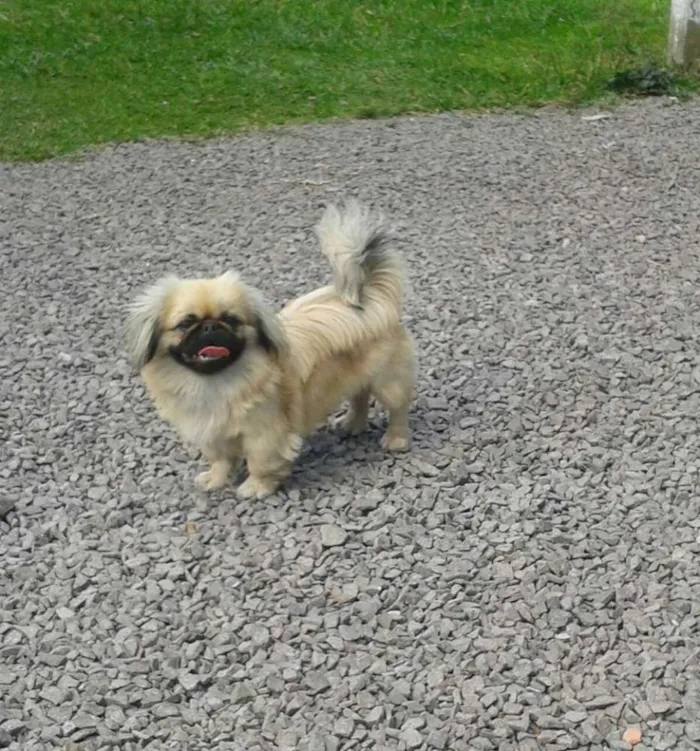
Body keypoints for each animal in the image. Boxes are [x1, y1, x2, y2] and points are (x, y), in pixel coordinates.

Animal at [126, 203, 416, 502]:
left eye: (230, 320)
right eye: (185, 324)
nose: (209, 327)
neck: (215, 383)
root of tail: (370, 297)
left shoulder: (264, 434)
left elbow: (260, 462)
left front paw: (256, 488)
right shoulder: (213, 434)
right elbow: (220, 460)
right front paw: (215, 480)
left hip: (388, 383)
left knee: (397, 409)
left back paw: (395, 440)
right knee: (359, 396)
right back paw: (352, 425)